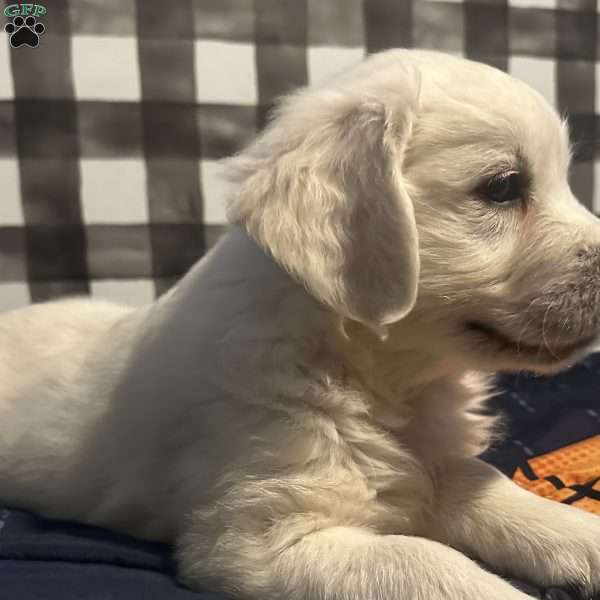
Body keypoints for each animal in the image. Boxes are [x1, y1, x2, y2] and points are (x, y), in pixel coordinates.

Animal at [1, 48, 600, 600]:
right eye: (502, 187)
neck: (370, 373)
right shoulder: (256, 535)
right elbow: (423, 560)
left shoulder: (433, 463)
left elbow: (485, 481)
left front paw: (579, 535)